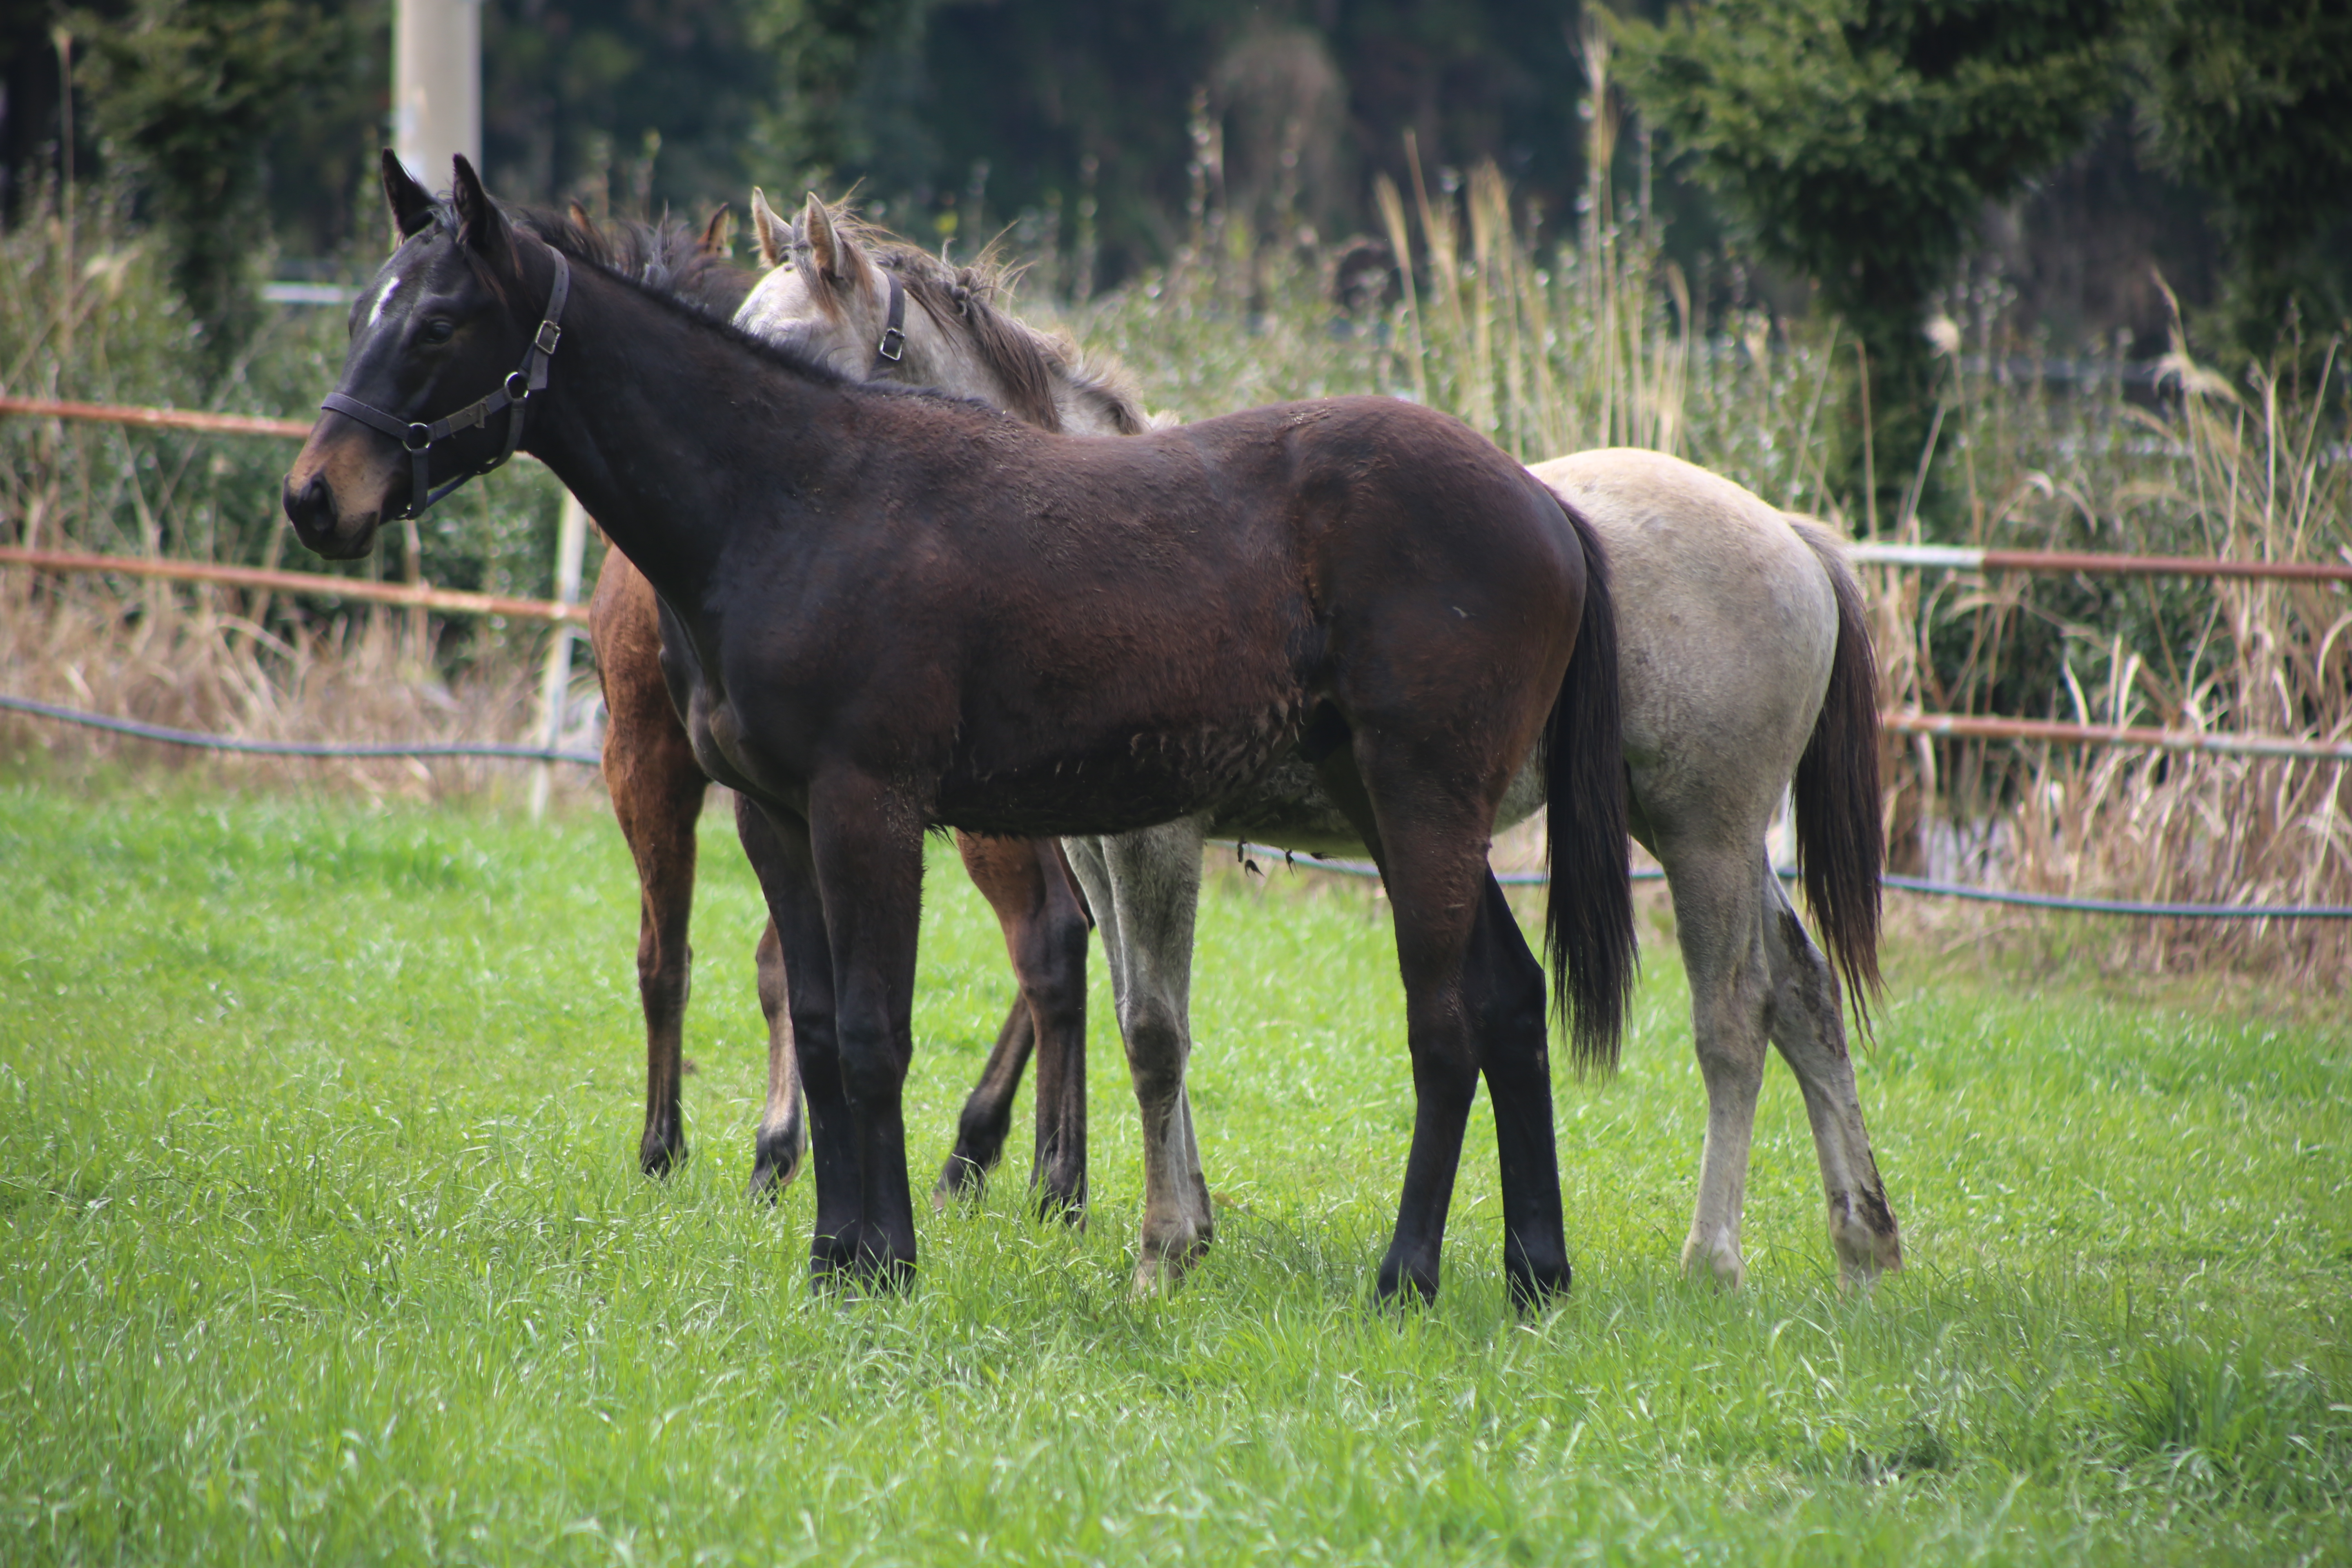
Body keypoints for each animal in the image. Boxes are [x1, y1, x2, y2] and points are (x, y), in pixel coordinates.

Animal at [280, 153, 1637, 1307]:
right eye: (358, 317)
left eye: (439, 324)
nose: (315, 497)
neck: (791, 502)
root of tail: (1549, 506)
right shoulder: (777, 817)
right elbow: (822, 1025)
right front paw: (834, 1252)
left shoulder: (870, 806)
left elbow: (882, 1032)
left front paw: (887, 1262)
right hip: (1395, 809)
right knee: (1508, 1000)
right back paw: (1537, 1272)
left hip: (1420, 803)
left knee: (1444, 1023)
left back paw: (1409, 1277)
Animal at [724, 196, 1900, 1297]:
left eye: (787, 342)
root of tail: (1793, 537)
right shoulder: (1102, 845)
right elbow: (1137, 1010)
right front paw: (1189, 1219)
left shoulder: (1153, 838)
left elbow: (1154, 1023)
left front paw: (1166, 1242)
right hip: (1705, 839)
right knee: (1806, 998)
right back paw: (1863, 1243)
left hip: (1703, 833)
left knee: (1735, 1017)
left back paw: (1715, 1257)